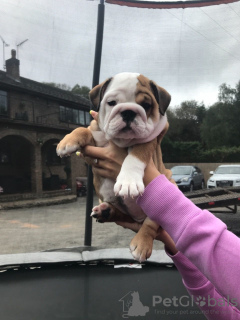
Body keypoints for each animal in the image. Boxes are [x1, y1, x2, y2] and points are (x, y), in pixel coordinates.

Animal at [58, 72, 174, 262]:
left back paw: (142, 244)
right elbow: (84, 129)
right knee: (120, 212)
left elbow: (137, 153)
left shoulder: (150, 139)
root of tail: (137, 218)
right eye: (112, 102)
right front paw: (67, 141)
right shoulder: (96, 134)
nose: (128, 111)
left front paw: (128, 182)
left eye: (146, 105)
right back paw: (105, 211)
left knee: (150, 224)